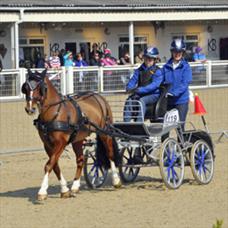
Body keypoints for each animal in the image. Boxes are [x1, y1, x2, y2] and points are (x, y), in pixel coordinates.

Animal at [21, 69, 121, 200]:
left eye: (40, 87)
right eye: (26, 87)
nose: (30, 109)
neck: (55, 112)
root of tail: (99, 97)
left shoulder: (61, 143)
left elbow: (48, 165)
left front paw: (42, 191)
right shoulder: (47, 144)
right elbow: (55, 165)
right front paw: (64, 190)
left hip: (104, 133)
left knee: (110, 154)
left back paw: (116, 180)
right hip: (78, 139)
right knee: (80, 160)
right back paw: (75, 186)